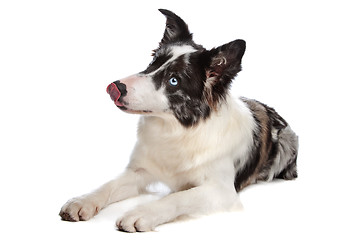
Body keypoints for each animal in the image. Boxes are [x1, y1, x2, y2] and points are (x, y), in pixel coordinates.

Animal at [60, 9, 300, 232]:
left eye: (174, 80)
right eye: (153, 61)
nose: (115, 88)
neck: (178, 131)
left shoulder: (220, 191)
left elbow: (177, 197)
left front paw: (142, 213)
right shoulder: (139, 171)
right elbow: (107, 185)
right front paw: (83, 201)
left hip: (288, 142)